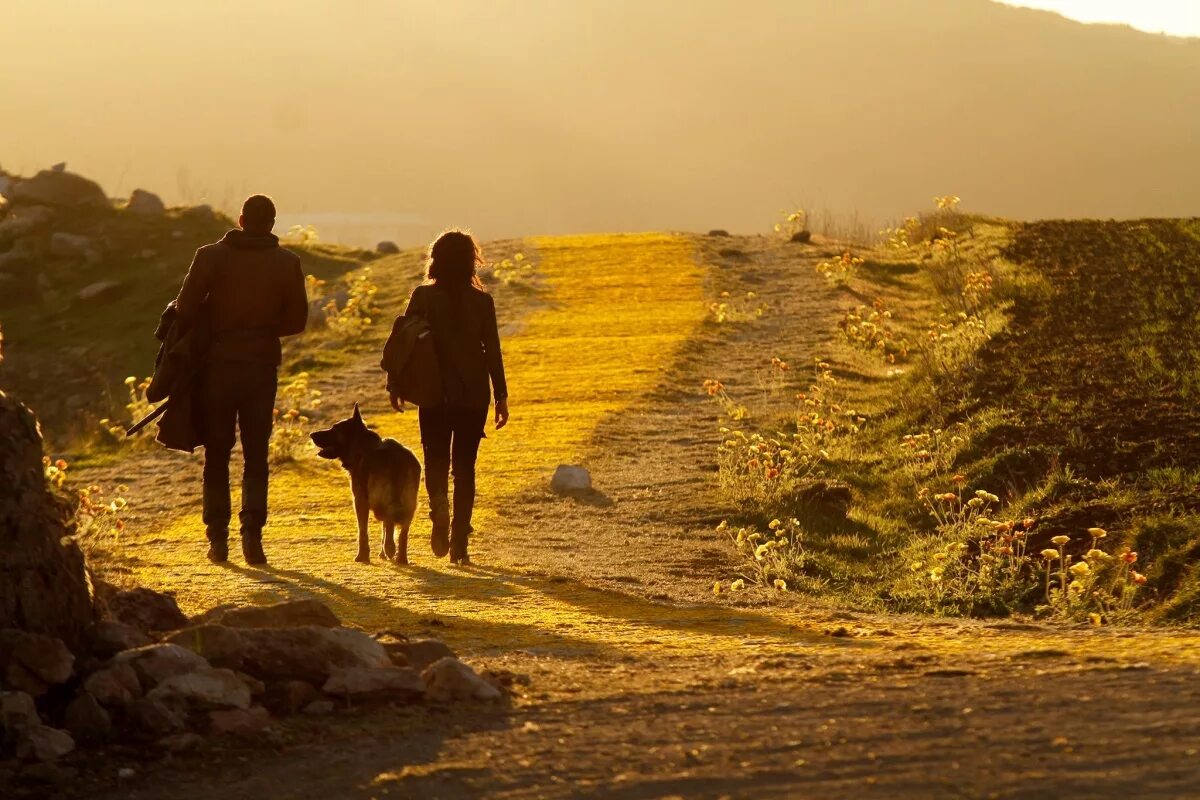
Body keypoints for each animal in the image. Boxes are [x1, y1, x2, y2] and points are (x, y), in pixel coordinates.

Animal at [309, 407, 422, 563]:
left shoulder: (360, 501)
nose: (311, 434)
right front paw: (382, 554)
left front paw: (362, 556)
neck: (363, 448)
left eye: (334, 428)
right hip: (410, 504)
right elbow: (386, 529)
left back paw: (390, 549)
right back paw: (401, 558)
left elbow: (363, 530)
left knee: (389, 522)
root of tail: (396, 460)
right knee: (402, 532)